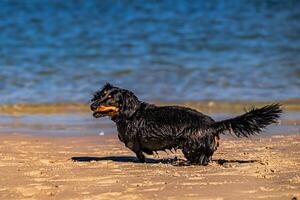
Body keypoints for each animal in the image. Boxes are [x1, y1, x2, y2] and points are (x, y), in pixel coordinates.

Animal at [90, 83, 282, 166]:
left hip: (189, 146)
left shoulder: (132, 143)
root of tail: (213, 125)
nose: (92, 105)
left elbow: (139, 154)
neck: (131, 113)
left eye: (110, 98)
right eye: (101, 96)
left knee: (200, 161)